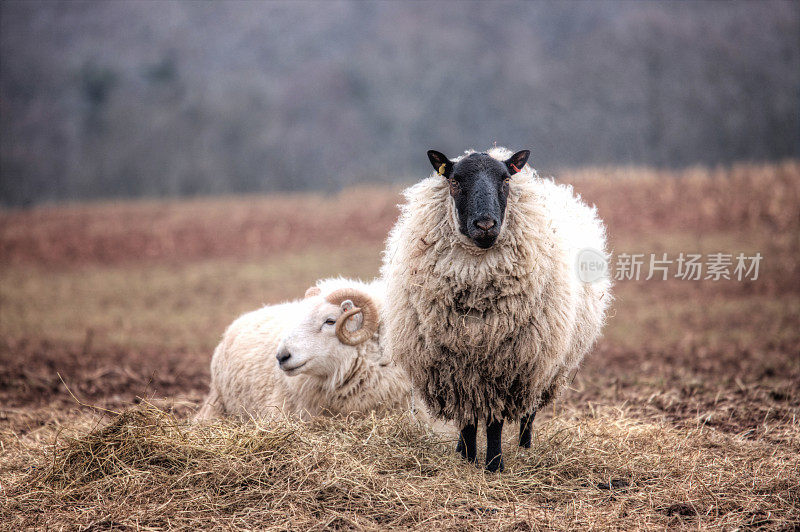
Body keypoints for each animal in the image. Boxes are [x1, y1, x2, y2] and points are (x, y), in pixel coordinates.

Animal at [382, 145, 612, 470]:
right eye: (454, 181)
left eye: (505, 180)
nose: (485, 225)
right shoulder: (455, 369)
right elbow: (467, 421)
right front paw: (467, 459)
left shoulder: (507, 366)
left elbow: (494, 423)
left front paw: (494, 465)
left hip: (544, 363)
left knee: (529, 412)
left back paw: (525, 448)